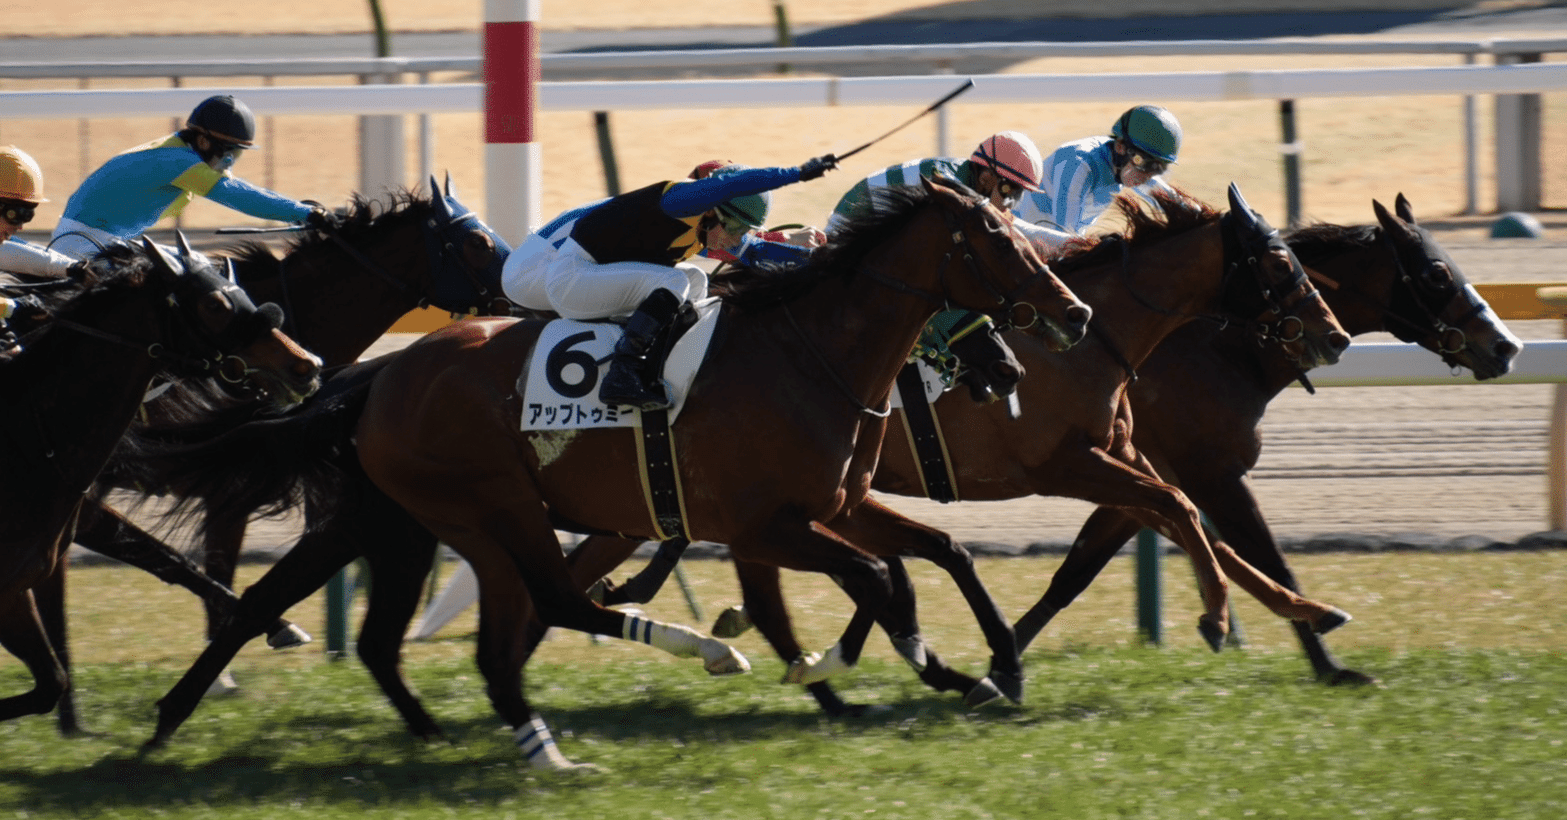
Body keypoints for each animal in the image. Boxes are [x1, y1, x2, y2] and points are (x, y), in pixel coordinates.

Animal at [0, 237, 321, 729]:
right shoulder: (11, 594)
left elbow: (171, 560)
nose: (306, 365)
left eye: (240, 290)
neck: (29, 437)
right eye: (213, 304)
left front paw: (278, 626)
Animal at [140, 175, 1094, 768]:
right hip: (487, 509)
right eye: (998, 239)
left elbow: (938, 553)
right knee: (547, 602)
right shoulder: (766, 524)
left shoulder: (838, 503)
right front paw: (884, 666)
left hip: (411, 522)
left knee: (372, 622)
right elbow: (876, 577)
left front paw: (993, 669)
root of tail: (379, 375)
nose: (1073, 314)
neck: (808, 352)